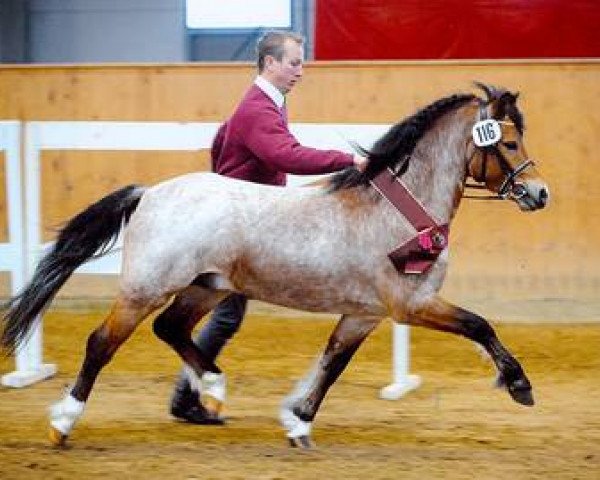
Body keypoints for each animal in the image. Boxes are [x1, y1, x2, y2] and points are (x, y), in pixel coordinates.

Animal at [1, 82, 548, 446]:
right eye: (510, 142)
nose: (539, 193)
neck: (399, 210)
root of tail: (149, 193)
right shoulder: (410, 304)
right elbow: (479, 324)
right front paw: (519, 385)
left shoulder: (365, 314)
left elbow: (333, 361)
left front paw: (298, 420)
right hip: (145, 288)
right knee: (102, 343)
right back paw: (63, 422)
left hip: (207, 285)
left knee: (172, 328)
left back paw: (212, 388)